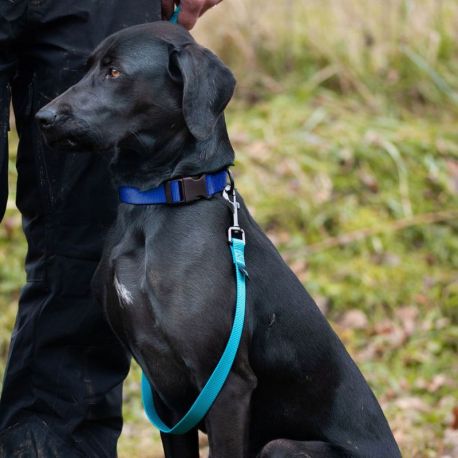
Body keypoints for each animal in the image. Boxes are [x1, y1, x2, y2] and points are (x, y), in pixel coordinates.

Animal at [35, 19, 400, 456]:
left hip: (281, 445)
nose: (42, 118)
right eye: (87, 67)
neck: (160, 201)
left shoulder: (226, 385)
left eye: (116, 72)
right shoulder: (168, 399)